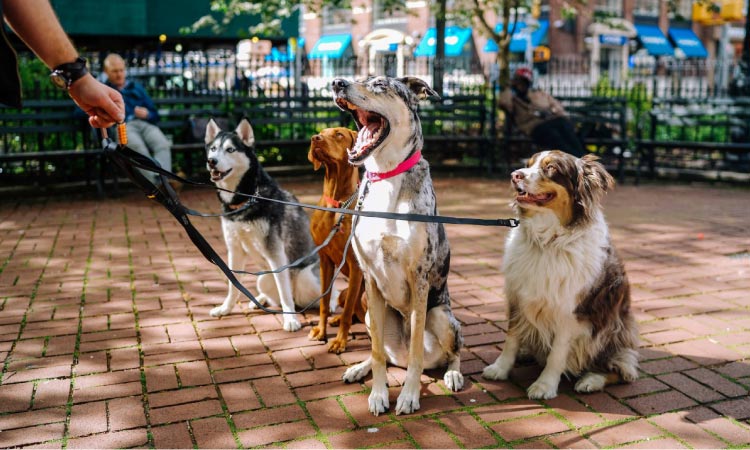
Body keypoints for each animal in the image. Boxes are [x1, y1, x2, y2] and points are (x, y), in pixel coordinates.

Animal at [308, 125, 368, 352]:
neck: (336, 203)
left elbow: (348, 312)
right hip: (342, 293)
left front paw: (340, 341)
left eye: (339, 134)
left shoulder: (355, 265)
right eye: (321, 132)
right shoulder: (324, 260)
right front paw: (321, 331)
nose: (315, 138)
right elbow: (324, 303)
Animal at [334, 76, 464, 414]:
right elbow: (378, 352)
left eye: (380, 84)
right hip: (370, 314)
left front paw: (408, 395)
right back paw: (359, 368)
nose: (337, 82)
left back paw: (453, 374)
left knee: (453, 352)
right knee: (385, 353)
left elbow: (417, 349)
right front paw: (379, 394)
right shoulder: (370, 278)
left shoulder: (419, 278)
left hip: (442, 317)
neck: (386, 176)